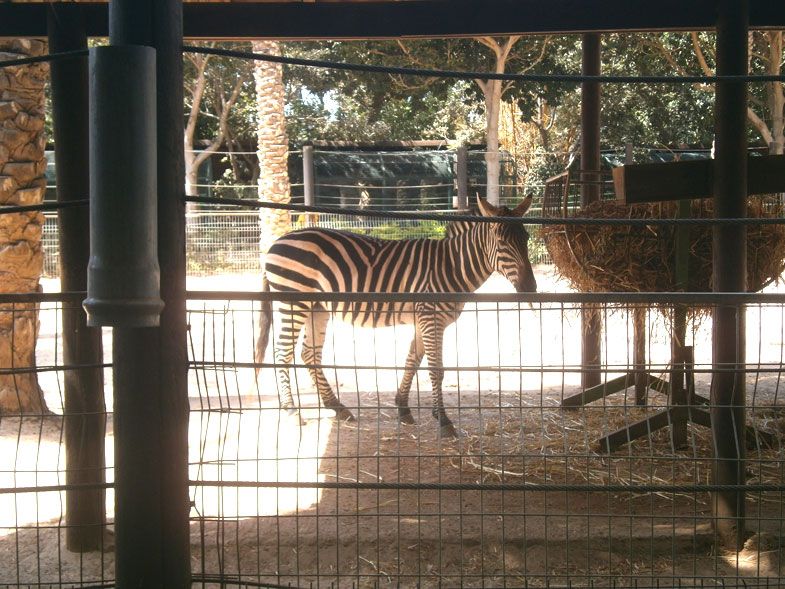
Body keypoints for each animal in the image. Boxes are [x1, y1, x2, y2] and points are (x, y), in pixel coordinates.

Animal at [254, 195, 536, 438]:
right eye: (501, 242)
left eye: (526, 238)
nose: (530, 289)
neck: (451, 265)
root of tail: (276, 242)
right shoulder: (430, 318)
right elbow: (436, 370)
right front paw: (444, 422)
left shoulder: (426, 320)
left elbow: (412, 360)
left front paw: (404, 408)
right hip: (294, 301)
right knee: (283, 353)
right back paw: (291, 410)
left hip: (317, 306)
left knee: (309, 354)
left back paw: (337, 407)